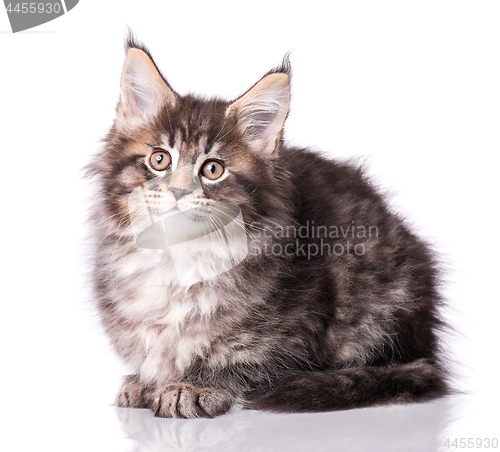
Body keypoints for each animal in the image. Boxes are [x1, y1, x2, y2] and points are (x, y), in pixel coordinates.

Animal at [84, 37, 448, 418]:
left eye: (213, 169)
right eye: (159, 160)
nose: (179, 191)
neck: (179, 259)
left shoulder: (295, 328)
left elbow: (244, 360)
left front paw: (193, 385)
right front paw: (148, 380)